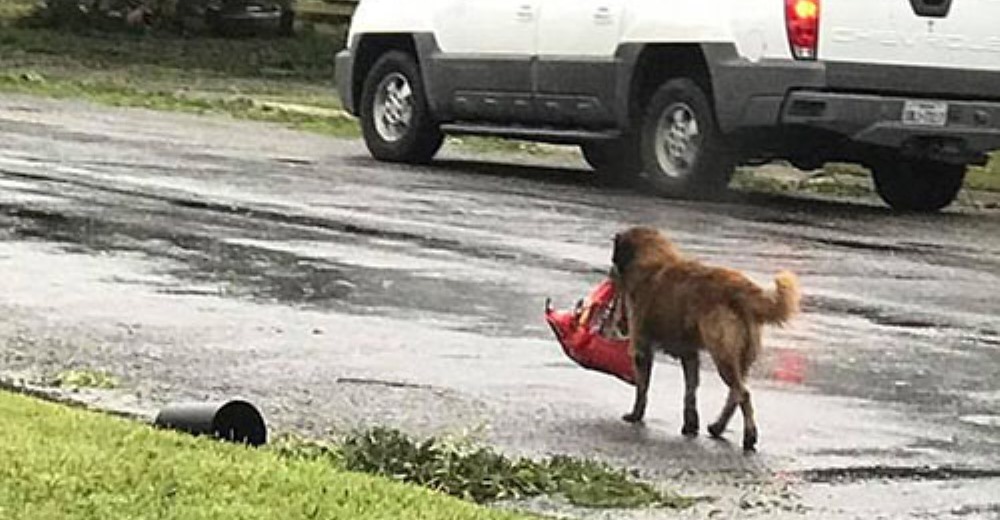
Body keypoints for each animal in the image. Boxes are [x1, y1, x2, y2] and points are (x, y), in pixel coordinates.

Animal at [608, 228, 796, 450]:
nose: (610, 272)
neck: (653, 260)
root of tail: (739, 288)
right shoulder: (690, 355)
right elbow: (690, 391)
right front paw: (690, 425)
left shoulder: (642, 349)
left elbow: (642, 388)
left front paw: (636, 415)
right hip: (740, 359)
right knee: (735, 394)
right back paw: (718, 427)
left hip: (723, 356)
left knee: (743, 394)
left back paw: (749, 436)